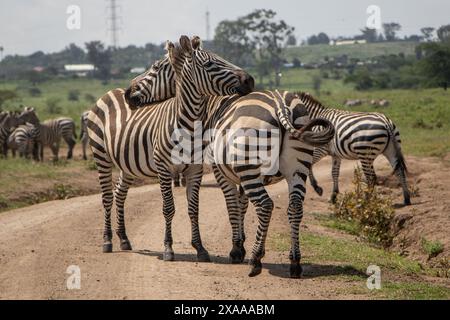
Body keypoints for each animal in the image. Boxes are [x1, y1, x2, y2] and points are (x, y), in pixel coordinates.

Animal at [84, 34, 253, 262]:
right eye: (210, 64)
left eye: (156, 67)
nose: (249, 80)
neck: (190, 123)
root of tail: (109, 92)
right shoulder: (164, 168)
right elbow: (168, 208)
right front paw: (168, 248)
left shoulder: (195, 169)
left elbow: (193, 209)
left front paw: (200, 248)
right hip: (101, 155)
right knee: (107, 197)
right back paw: (108, 240)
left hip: (127, 165)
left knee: (119, 194)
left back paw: (124, 238)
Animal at [126, 37, 334, 278]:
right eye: (211, 63)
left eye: (156, 68)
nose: (128, 93)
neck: (208, 110)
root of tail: (281, 105)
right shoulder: (240, 174)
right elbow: (242, 205)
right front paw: (243, 244)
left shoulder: (221, 171)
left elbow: (232, 206)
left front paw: (237, 250)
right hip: (296, 167)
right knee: (295, 207)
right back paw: (294, 262)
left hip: (253, 167)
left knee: (265, 205)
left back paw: (255, 262)